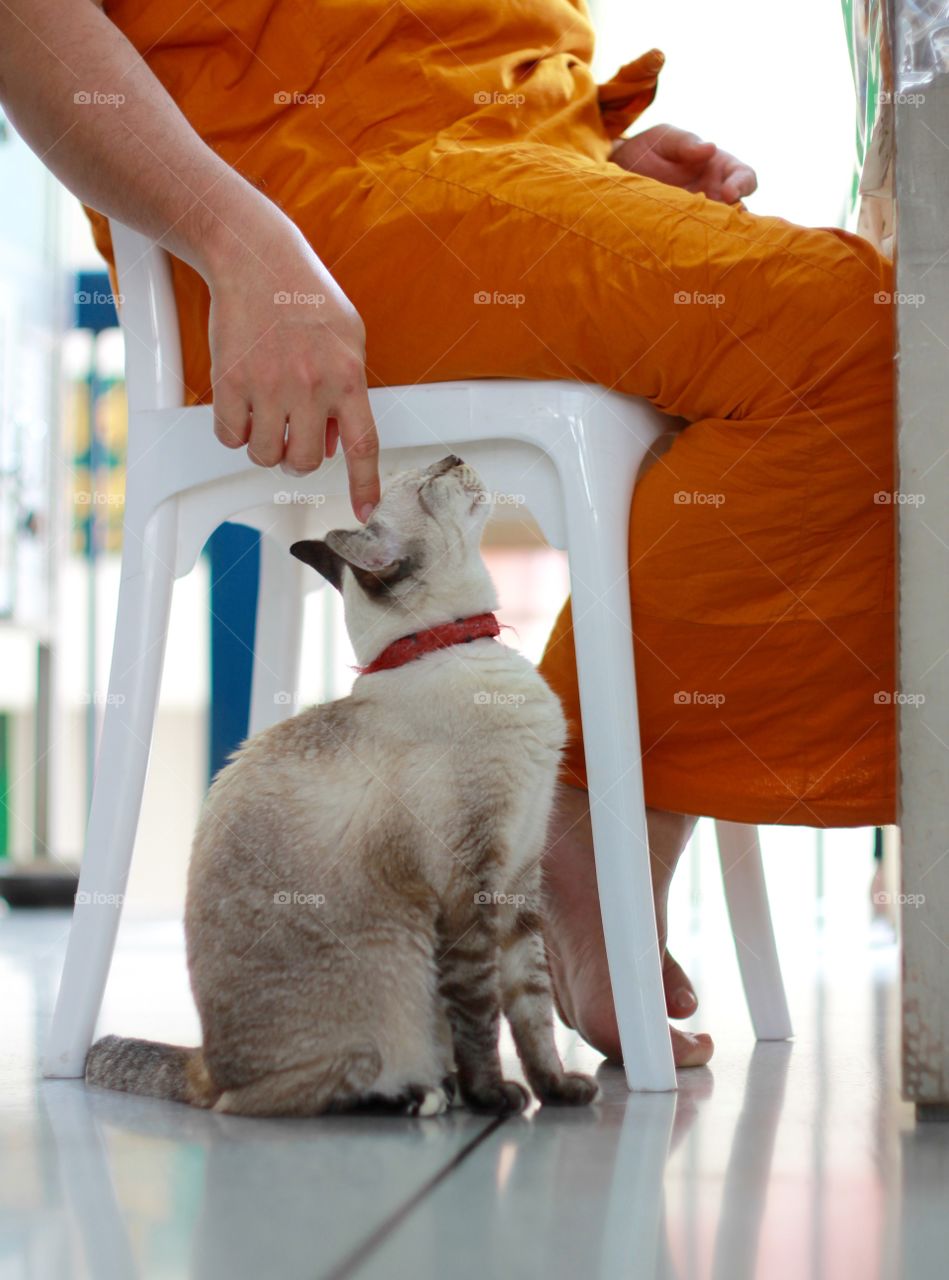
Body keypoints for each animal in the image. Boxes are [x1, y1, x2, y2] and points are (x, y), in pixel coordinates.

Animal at [85, 455, 596, 1116]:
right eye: (430, 482)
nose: (456, 458)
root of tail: (206, 1064)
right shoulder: (471, 891)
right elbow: (481, 1015)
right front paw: (497, 1098)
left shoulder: (521, 879)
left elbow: (535, 1014)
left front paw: (558, 1091)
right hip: (398, 965)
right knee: (267, 1100)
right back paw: (421, 1097)